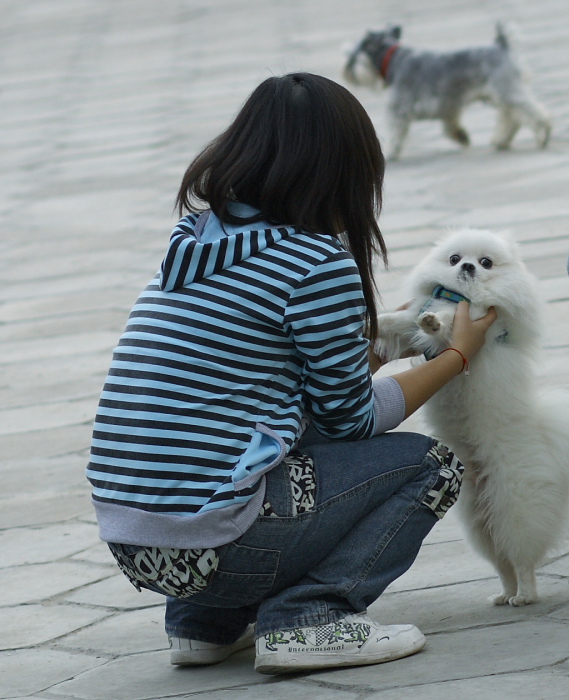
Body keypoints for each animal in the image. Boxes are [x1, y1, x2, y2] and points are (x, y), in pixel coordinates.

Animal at [342, 23, 552, 160]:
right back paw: (502, 140)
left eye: (352, 55)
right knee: (512, 117)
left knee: (532, 113)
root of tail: (502, 44)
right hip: (503, 95)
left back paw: (543, 134)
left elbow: (395, 132)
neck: (393, 58)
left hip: (507, 92)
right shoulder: (449, 105)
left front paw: (391, 153)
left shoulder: (399, 110)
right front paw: (462, 137)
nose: (345, 70)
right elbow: (451, 126)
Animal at [374, 228, 568, 600]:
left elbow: (447, 323)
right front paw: (375, 321)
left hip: (514, 507)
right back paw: (505, 594)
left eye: (486, 262)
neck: (459, 295)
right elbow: (399, 320)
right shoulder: (412, 319)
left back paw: (524, 595)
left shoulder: (478, 319)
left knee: (522, 560)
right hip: (479, 522)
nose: (466, 266)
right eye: (454, 258)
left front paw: (434, 322)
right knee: (502, 563)